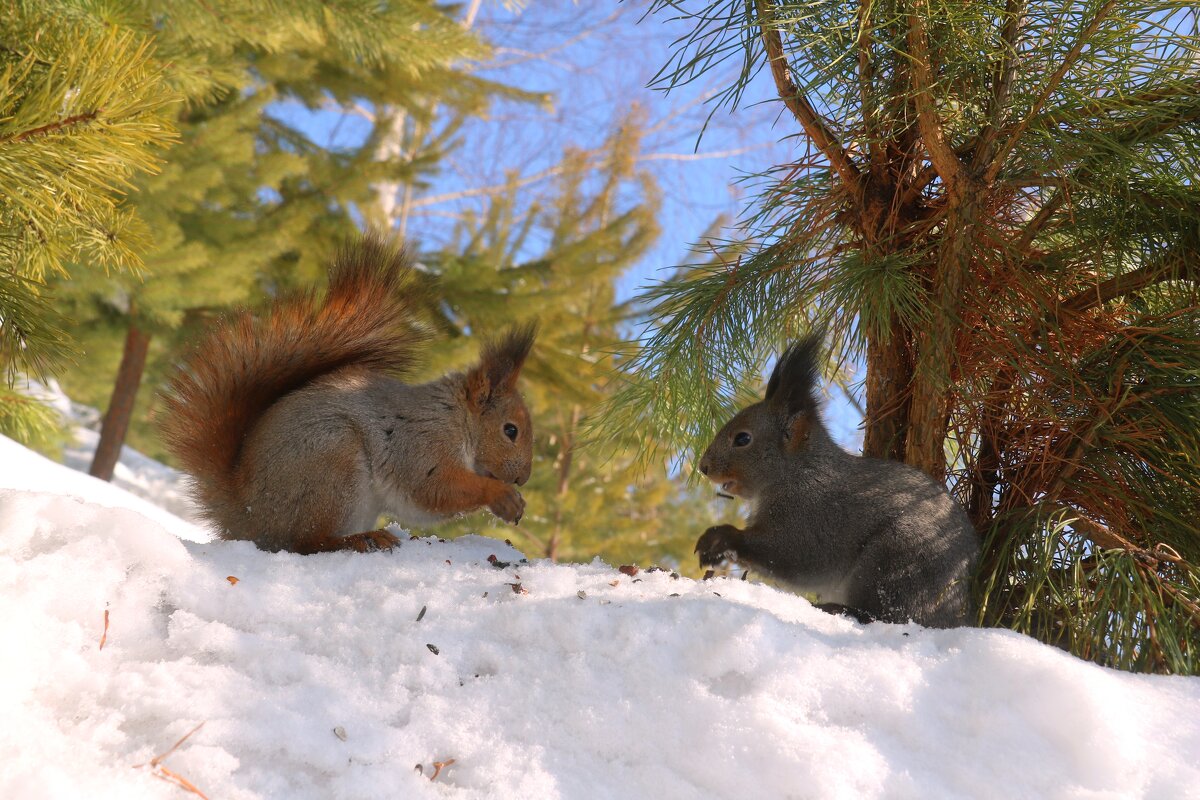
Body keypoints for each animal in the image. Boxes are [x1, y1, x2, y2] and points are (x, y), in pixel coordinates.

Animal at [159, 235, 535, 554]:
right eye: (510, 430)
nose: (523, 478)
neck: (456, 416)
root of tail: (244, 519)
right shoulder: (420, 443)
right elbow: (433, 488)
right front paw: (504, 497)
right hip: (333, 460)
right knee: (307, 542)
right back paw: (359, 539)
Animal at [691, 335, 979, 628]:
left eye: (742, 439)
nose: (704, 467)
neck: (796, 472)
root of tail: (960, 615)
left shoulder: (812, 517)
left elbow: (789, 552)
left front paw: (720, 539)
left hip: (895, 563)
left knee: (887, 615)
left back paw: (840, 609)